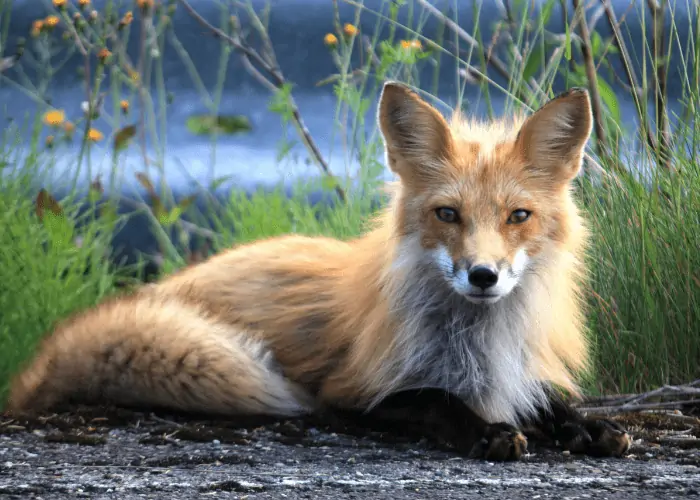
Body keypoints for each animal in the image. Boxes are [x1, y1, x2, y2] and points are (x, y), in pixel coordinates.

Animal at [5, 82, 632, 460]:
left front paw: (587, 425)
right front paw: (489, 430)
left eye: (518, 216)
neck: (477, 341)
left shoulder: (517, 369)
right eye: (448, 214)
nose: (483, 276)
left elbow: (546, 398)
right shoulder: (352, 392)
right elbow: (436, 399)